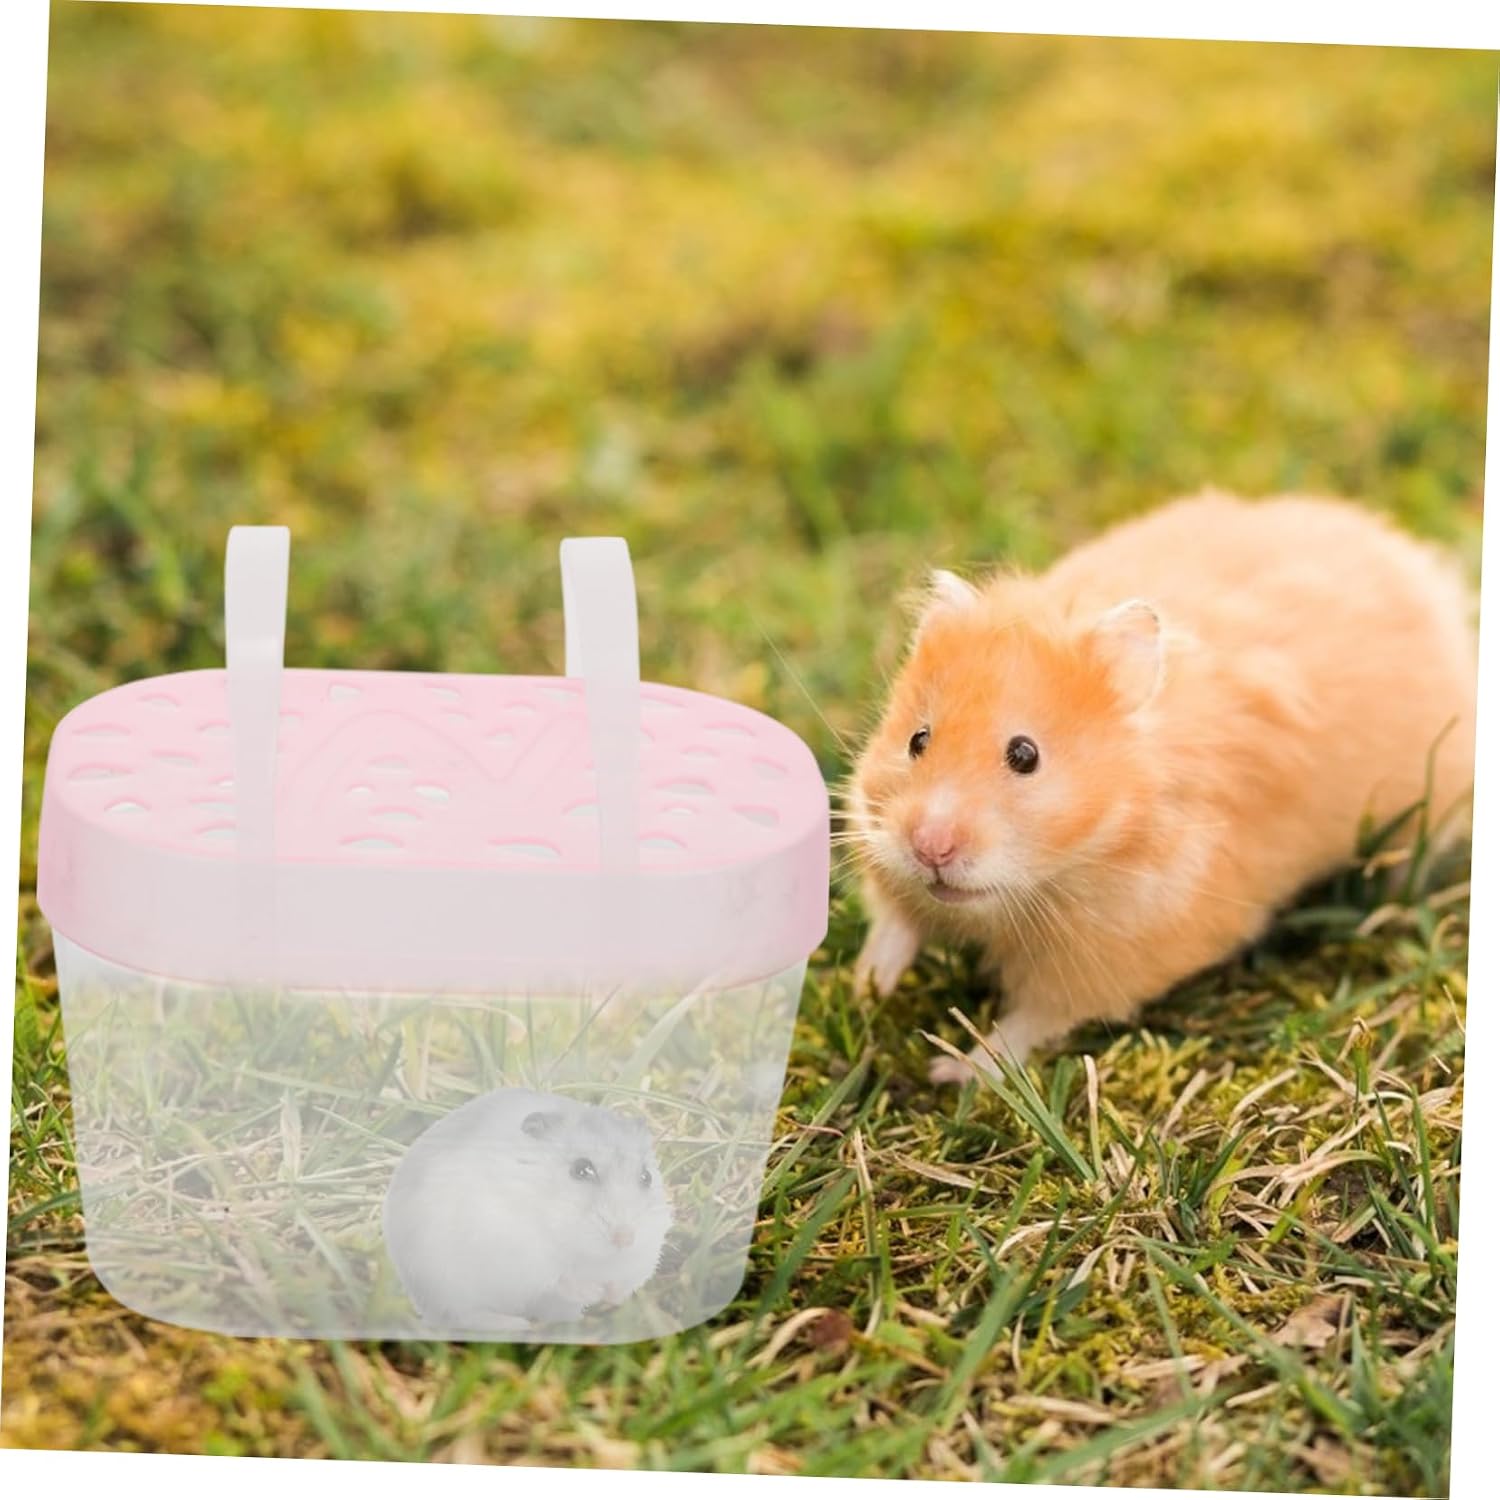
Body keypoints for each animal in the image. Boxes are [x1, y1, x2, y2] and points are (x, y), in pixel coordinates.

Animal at [381, 1086, 673, 1331]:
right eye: (581, 1169)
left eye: (646, 1177)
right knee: (460, 1314)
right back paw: (515, 1324)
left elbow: (625, 1277)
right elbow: (558, 1276)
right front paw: (592, 1292)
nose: (625, 1239)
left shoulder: (644, 1251)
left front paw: (612, 1296)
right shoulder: (516, 1243)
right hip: (443, 1282)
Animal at [848, 490, 1478, 1082]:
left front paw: (951, 1071)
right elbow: (895, 922)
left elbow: (1031, 1022)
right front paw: (866, 988)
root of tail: (1413, 564)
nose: (930, 848)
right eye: (917, 740)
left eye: (1025, 756)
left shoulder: (1115, 953)